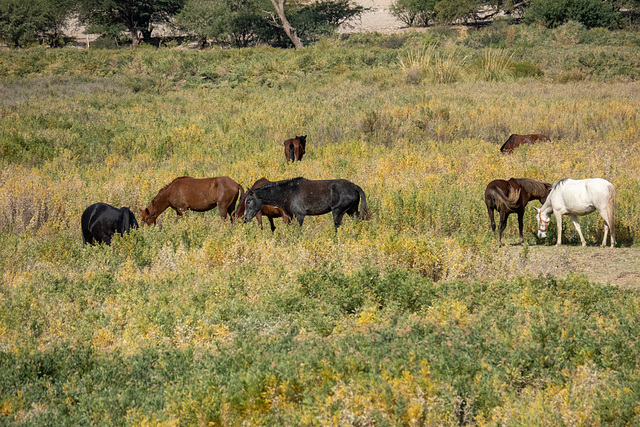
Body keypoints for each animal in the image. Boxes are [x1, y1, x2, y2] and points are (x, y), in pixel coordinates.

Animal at [241, 176, 370, 232]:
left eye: (248, 201)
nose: (245, 218)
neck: (288, 192)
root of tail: (354, 186)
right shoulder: (291, 215)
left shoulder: (300, 215)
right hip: (351, 211)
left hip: (338, 212)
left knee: (337, 226)